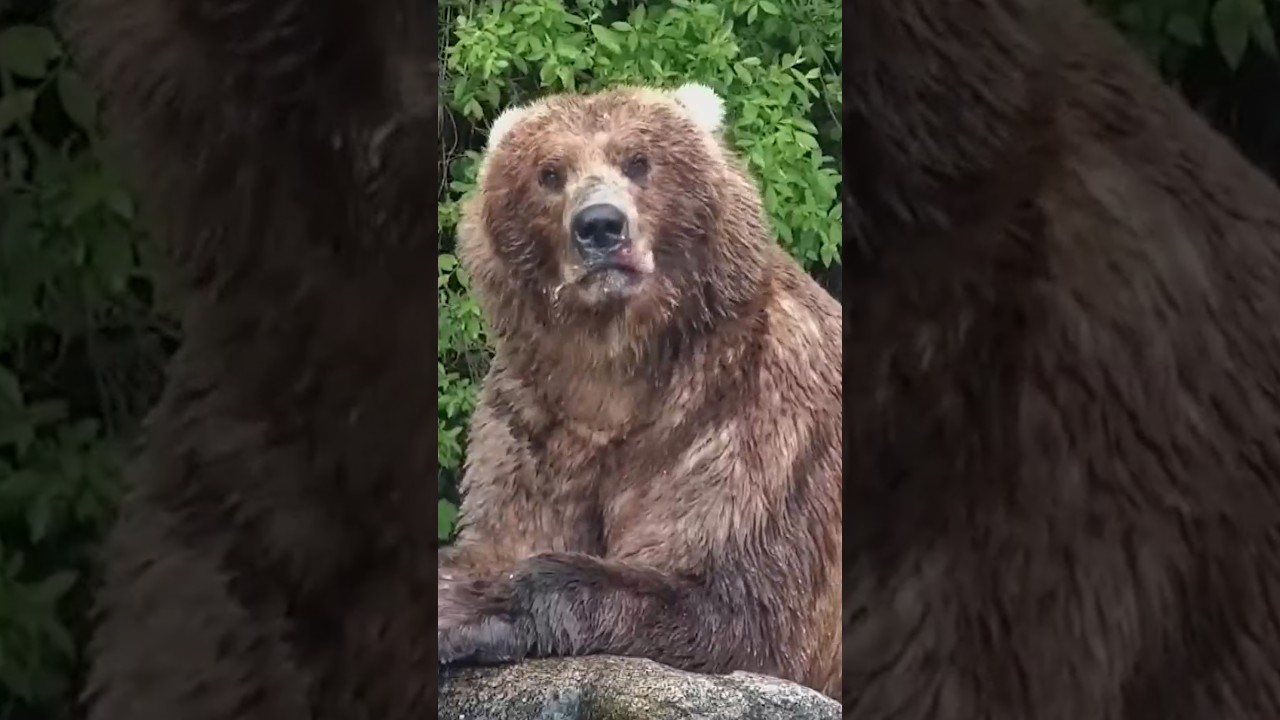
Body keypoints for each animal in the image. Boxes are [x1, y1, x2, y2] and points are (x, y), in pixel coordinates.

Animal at [436, 83, 844, 700]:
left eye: (638, 161)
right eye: (549, 172)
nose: (600, 226)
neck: (616, 375)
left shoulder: (753, 424)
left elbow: (740, 606)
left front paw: (468, 607)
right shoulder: (534, 422)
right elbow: (505, 531)